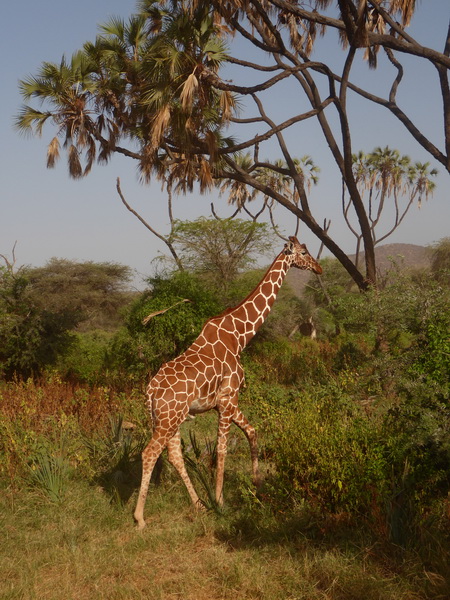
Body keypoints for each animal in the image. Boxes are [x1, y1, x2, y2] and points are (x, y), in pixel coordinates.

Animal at [134, 237, 324, 528]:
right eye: (303, 252)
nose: (319, 268)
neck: (239, 335)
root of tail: (150, 390)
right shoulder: (227, 399)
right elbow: (222, 449)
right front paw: (221, 500)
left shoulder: (226, 402)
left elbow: (252, 432)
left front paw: (257, 486)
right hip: (169, 418)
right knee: (150, 453)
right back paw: (141, 518)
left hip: (168, 418)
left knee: (174, 455)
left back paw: (198, 505)